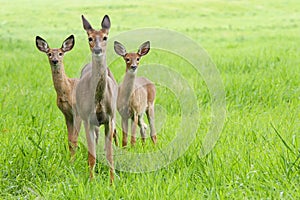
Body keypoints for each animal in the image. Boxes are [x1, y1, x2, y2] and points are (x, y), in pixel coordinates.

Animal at [75, 14, 118, 182]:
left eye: (105, 37)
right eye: (90, 38)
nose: (98, 49)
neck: (99, 100)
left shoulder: (110, 119)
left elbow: (110, 154)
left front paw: (112, 182)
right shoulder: (88, 120)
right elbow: (91, 156)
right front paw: (92, 181)